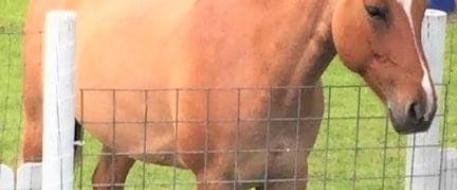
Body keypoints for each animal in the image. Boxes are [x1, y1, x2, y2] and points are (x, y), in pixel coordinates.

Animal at [20, 0, 434, 189]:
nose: (422, 108)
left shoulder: (288, 175)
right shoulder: (215, 178)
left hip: (123, 140)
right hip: (39, 131)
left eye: (422, 6)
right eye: (374, 9)